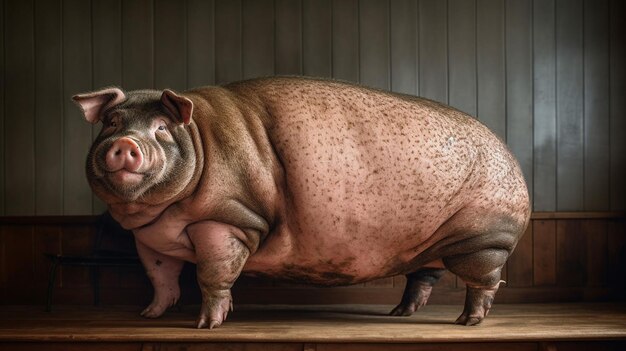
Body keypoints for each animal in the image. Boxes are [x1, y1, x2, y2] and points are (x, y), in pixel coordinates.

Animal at [74, 77, 532, 330]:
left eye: (162, 128)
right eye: (111, 122)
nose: (124, 143)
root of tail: (512, 158)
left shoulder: (228, 221)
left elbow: (212, 275)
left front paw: (205, 326)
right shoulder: (150, 238)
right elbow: (160, 277)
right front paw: (149, 317)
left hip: (485, 238)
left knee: (484, 281)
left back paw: (467, 322)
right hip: (431, 244)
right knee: (423, 276)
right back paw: (398, 314)